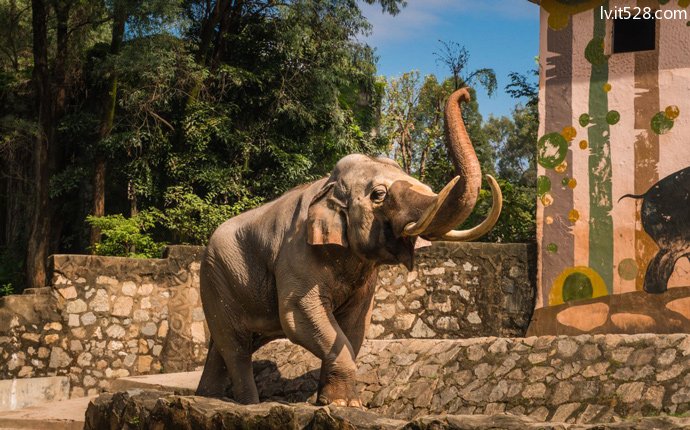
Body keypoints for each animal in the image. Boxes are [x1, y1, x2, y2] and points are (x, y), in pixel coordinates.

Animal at [194, 86, 500, 406]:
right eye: (379, 194)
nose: (466, 94)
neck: (326, 185)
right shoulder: (296, 255)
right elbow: (299, 314)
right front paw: (343, 403)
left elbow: (354, 325)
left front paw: (336, 402)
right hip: (215, 278)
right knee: (235, 346)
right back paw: (248, 403)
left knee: (224, 345)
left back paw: (209, 395)